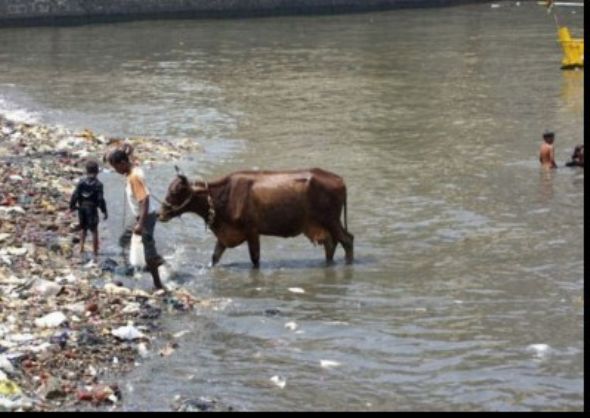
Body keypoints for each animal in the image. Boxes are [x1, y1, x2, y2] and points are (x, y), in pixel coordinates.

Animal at [157, 168, 354, 266]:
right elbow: (215, 257)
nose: (161, 213)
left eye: (176, 191)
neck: (223, 196)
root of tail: (340, 180)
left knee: (347, 240)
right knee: (330, 244)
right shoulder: (225, 236)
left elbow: (255, 258)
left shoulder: (252, 231)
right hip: (319, 224)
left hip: (332, 220)